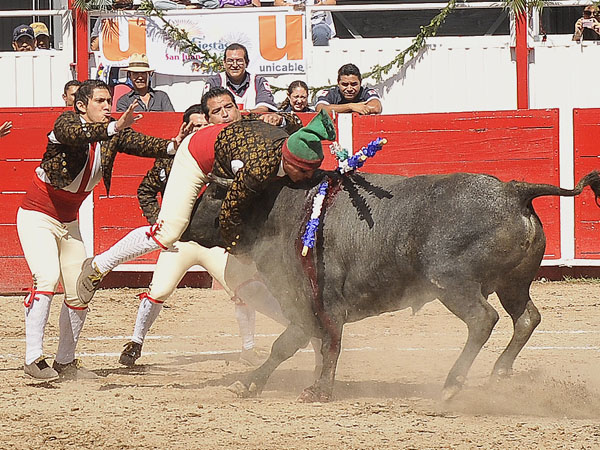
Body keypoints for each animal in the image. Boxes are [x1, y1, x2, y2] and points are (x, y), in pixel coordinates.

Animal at [182, 171, 600, 402]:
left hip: (451, 281)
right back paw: (498, 372)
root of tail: (513, 191)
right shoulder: (306, 308)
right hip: (512, 283)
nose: (182, 226)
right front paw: (252, 384)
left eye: (214, 194)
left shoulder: (317, 304)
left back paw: (451, 385)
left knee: (483, 319)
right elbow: (298, 345)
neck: (283, 211)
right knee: (526, 318)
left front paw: (318, 391)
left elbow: (313, 345)